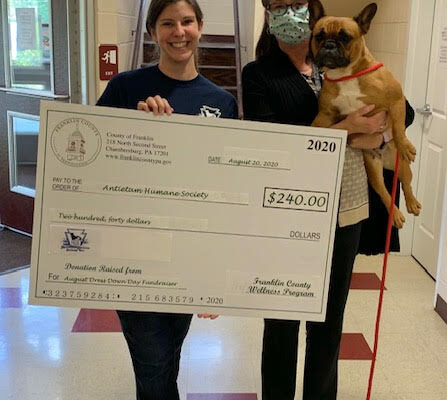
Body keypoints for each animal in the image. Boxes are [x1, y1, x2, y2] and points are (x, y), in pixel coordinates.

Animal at [310, 0, 422, 228]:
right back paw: (396, 215)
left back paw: (412, 203)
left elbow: (399, 127)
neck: (346, 75)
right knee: (384, 193)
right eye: (319, 36)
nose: (329, 45)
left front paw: (406, 145)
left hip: (404, 167)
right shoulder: (326, 114)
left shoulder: (397, 99)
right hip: (373, 169)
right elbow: (316, 124)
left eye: (345, 37)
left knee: (406, 184)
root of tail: (387, 160)